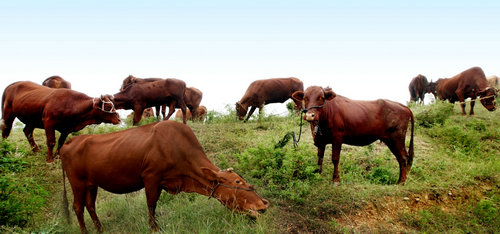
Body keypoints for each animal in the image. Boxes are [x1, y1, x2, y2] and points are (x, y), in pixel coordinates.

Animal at [61, 120, 270, 234]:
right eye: (237, 181)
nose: (264, 203)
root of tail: (71, 140)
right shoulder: (151, 177)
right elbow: (151, 204)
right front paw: (154, 228)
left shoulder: (162, 182)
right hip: (77, 183)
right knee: (78, 207)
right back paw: (86, 231)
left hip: (92, 184)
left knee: (90, 205)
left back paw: (100, 229)